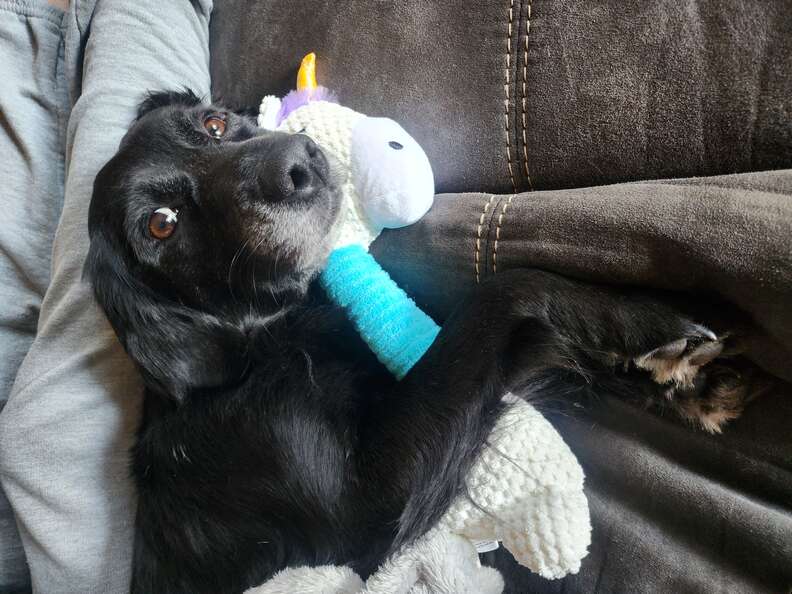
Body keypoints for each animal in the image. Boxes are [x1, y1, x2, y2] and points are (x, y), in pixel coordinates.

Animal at [85, 91, 756, 592]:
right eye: (161, 224)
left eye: (215, 123)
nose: (297, 158)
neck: (262, 349)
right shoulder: (370, 500)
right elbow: (507, 289)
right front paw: (647, 331)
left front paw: (681, 371)